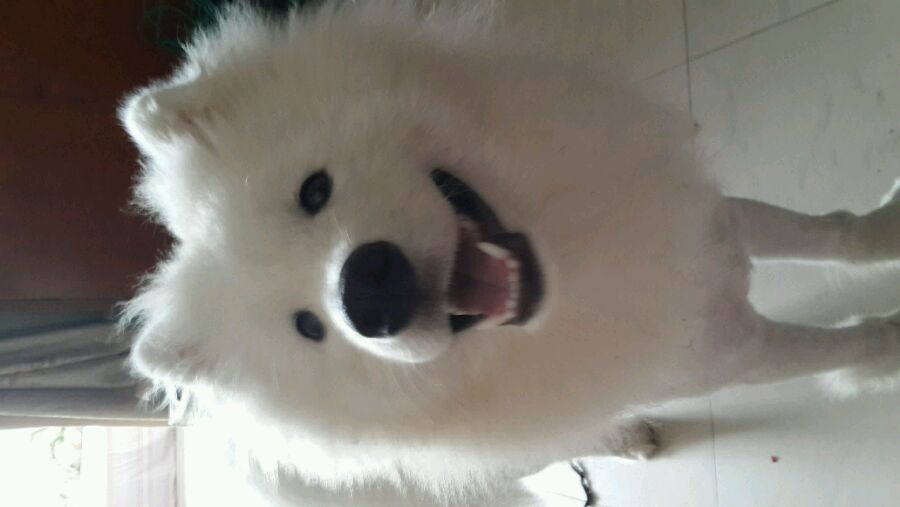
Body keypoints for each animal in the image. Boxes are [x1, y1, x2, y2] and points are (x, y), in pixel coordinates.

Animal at [119, 1, 900, 505]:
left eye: (313, 191)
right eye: (309, 328)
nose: (368, 292)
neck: (569, 250)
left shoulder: (710, 224)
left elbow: (831, 232)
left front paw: (885, 231)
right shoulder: (729, 350)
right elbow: (846, 345)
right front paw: (886, 352)